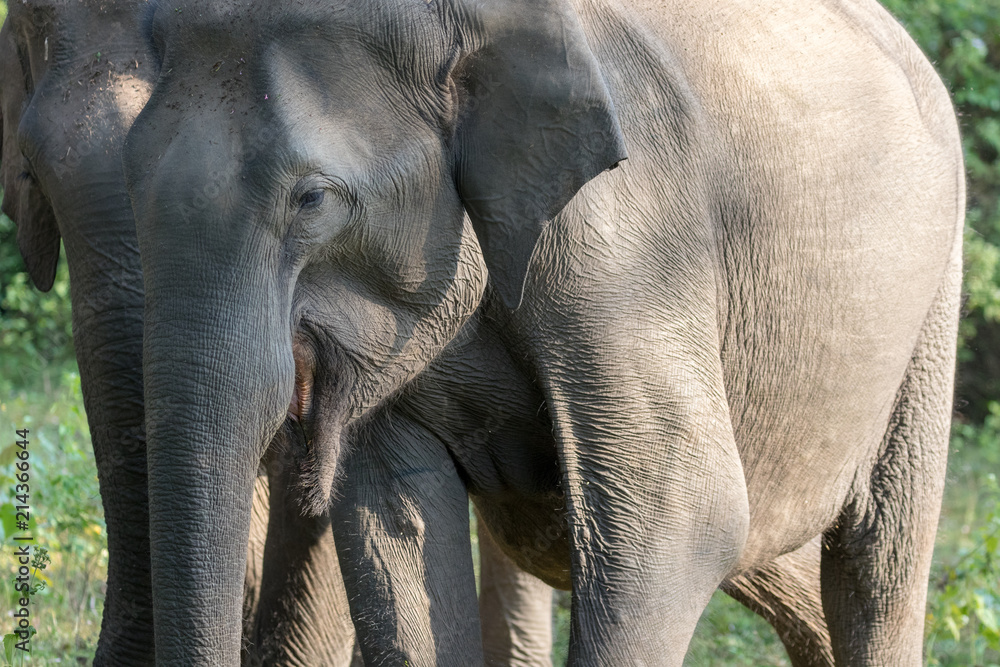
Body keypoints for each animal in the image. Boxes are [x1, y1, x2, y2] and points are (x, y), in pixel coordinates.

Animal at [123, 0, 962, 664]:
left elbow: (680, 510)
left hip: (934, 304)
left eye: (313, 199)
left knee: (875, 559)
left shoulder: (627, 235)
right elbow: (397, 519)